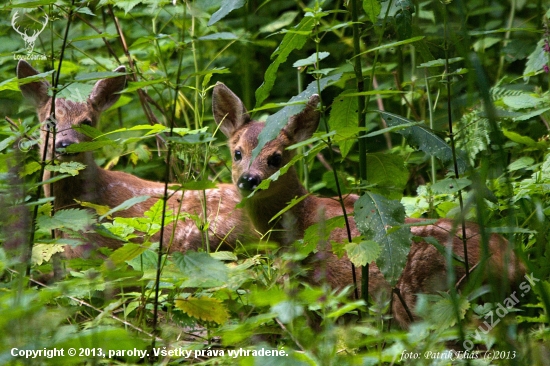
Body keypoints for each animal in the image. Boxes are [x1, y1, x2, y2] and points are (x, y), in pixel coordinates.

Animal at [211, 83, 528, 328]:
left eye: (276, 158)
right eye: (237, 152)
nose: (249, 179)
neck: (297, 222)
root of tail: (512, 264)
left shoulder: (319, 286)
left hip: (427, 294)